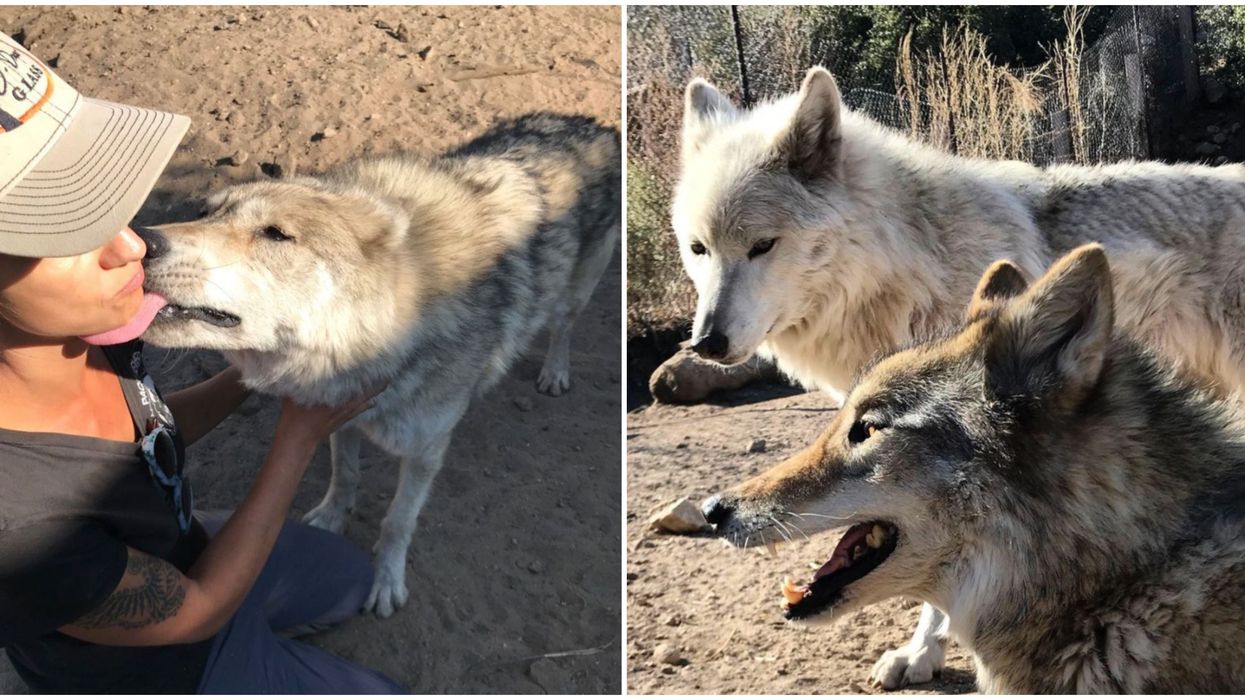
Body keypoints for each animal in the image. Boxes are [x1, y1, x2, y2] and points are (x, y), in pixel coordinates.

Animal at [139, 113, 620, 617]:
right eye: (205, 213)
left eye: (275, 234)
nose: (143, 241)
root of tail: (590, 124)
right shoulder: (338, 416)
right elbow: (344, 474)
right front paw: (332, 517)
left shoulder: (426, 450)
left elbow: (397, 521)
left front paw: (387, 581)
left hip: (575, 296)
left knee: (563, 328)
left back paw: (555, 373)